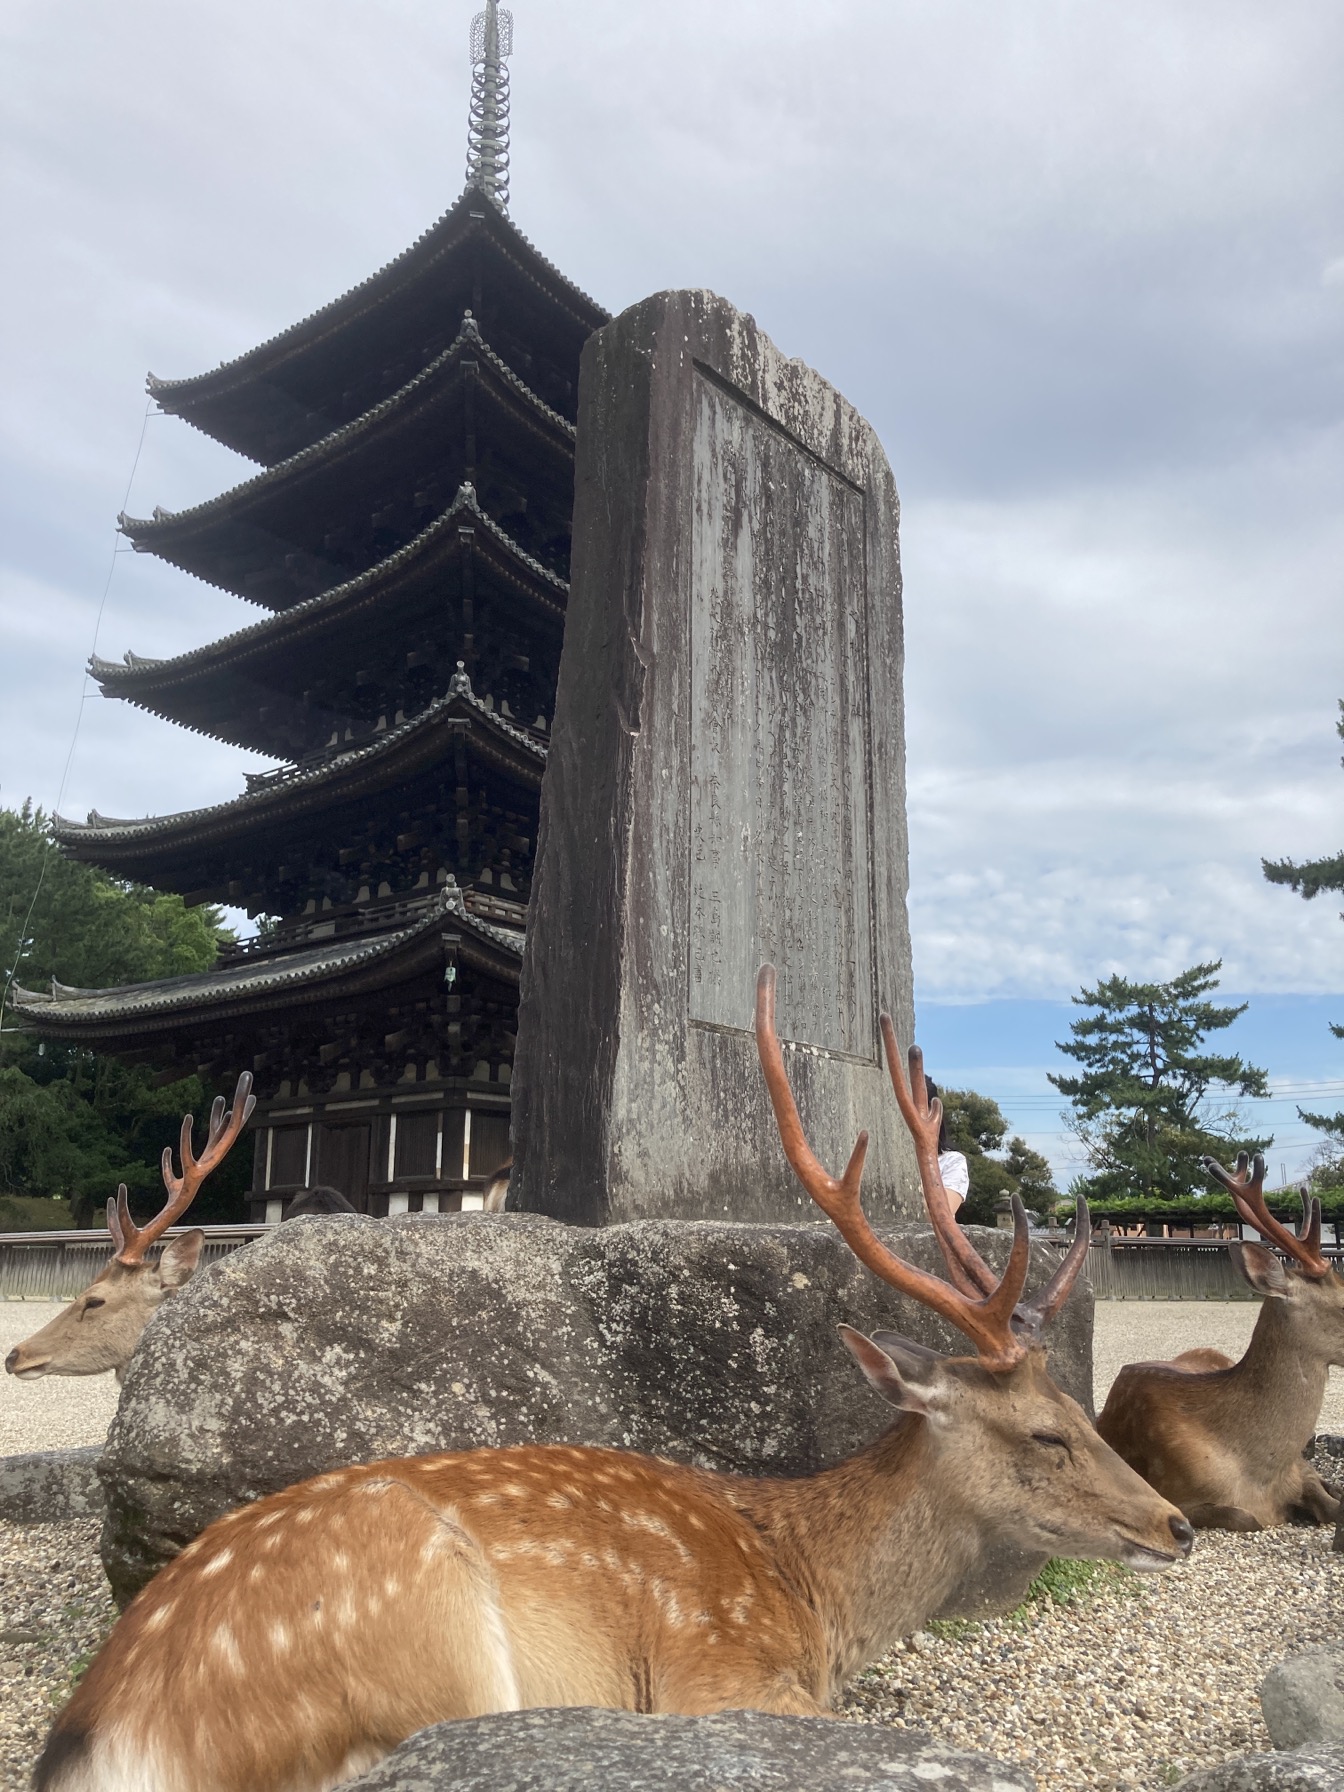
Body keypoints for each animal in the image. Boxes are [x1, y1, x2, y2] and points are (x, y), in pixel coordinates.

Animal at [34, 982, 1189, 1792]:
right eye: (1045, 1433)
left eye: (1083, 1410)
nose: (1176, 1524)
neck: (814, 1597)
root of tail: (99, 1736)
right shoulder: (715, 1669)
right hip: (432, 1647)